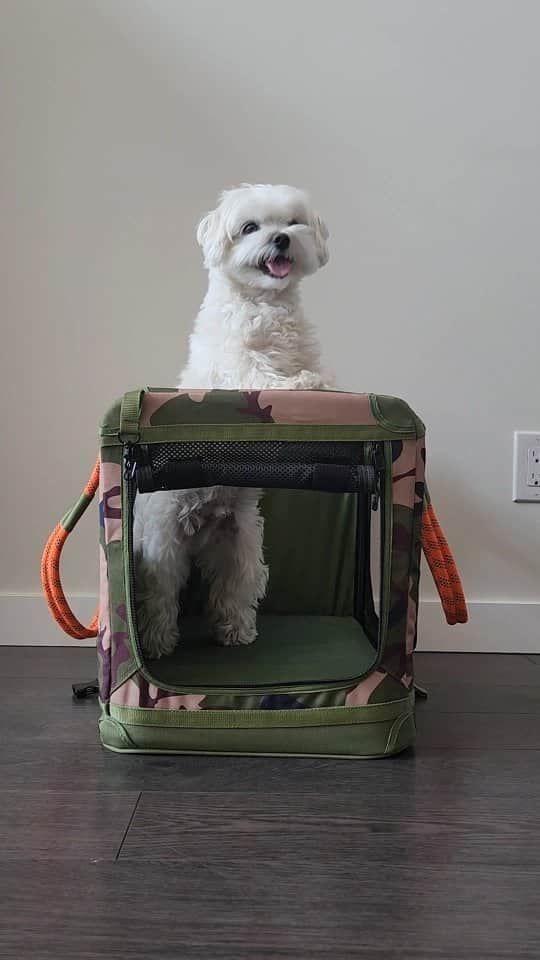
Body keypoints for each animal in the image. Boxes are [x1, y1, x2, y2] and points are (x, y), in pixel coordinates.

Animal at [134, 183, 330, 656]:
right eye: (250, 227)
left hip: (239, 541)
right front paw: (300, 384)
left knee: (234, 589)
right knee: (160, 594)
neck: (266, 302)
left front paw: (316, 379)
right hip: (164, 543)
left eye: (293, 223)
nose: (281, 239)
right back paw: (157, 642)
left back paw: (238, 631)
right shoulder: (237, 362)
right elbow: (264, 376)